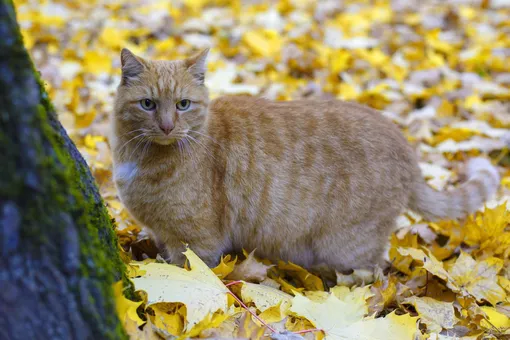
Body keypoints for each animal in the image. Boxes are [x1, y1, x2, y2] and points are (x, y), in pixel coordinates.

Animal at [110, 48, 498, 270]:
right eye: (148, 104)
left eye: (183, 104)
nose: (167, 125)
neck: (140, 156)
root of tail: (405, 145)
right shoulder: (163, 234)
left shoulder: (197, 241)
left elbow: (190, 275)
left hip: (346, 246)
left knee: (374, 274)